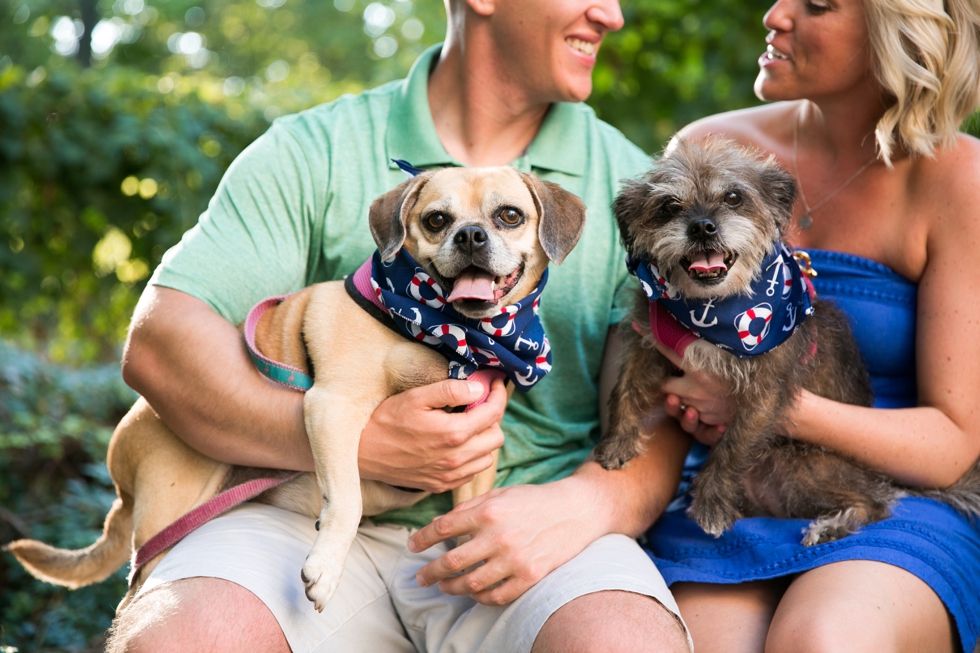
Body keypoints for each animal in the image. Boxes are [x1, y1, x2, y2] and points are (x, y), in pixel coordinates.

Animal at [7, 167, 584, 612]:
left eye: (509, 216)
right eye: (436, 220)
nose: (469, 236)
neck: (449, 336)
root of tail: (121, 486)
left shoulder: (475, 457)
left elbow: (466, 520)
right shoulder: (335, 407)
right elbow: (347, 499)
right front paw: (325, 568)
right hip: (168, 515)